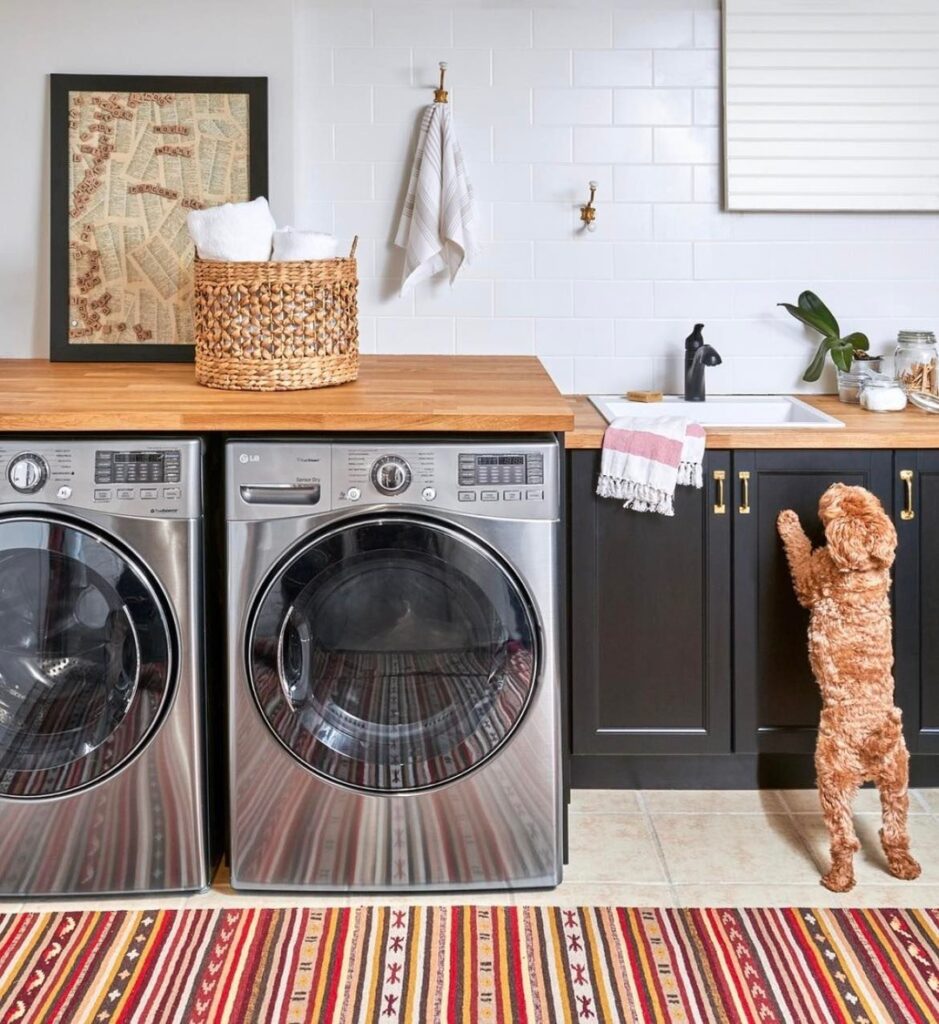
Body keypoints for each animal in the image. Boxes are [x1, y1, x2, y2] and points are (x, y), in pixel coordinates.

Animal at [778, 483, 917, 892]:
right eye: (861, 497)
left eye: (838, 504)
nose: (834, 485)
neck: (865, 568)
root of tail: (874, 742)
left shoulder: (813, 576)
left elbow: (799, 551)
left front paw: (788, 520)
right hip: (897, 779)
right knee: (895, 831)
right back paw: (905, 867)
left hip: (831, 772)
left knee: (844, 837)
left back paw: (838, 879)